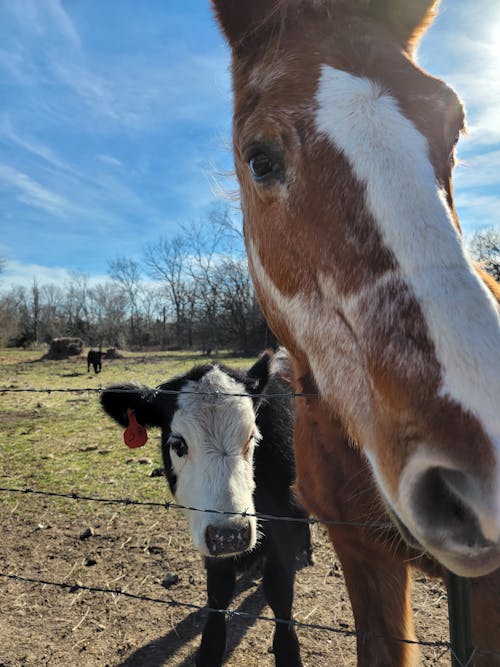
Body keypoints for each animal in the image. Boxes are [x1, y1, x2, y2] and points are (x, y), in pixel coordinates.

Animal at [100, 350, 312, 667]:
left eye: (252, 436)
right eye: (178, 444)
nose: (231, 535)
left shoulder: (282, 526)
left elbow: (280, 595)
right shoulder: (210, 540)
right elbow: (217, 598)